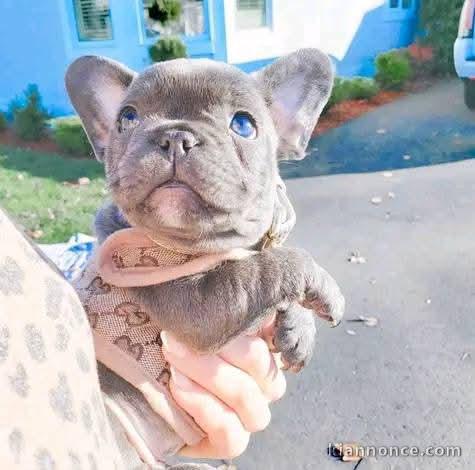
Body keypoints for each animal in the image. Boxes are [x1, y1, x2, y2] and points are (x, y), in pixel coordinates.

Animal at [65, 49, 344, 468]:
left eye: (243, 125)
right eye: (127, 118)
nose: (174, 136)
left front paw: (299, 327)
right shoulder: (192, 301)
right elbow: (264, 268)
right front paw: (322, 283)